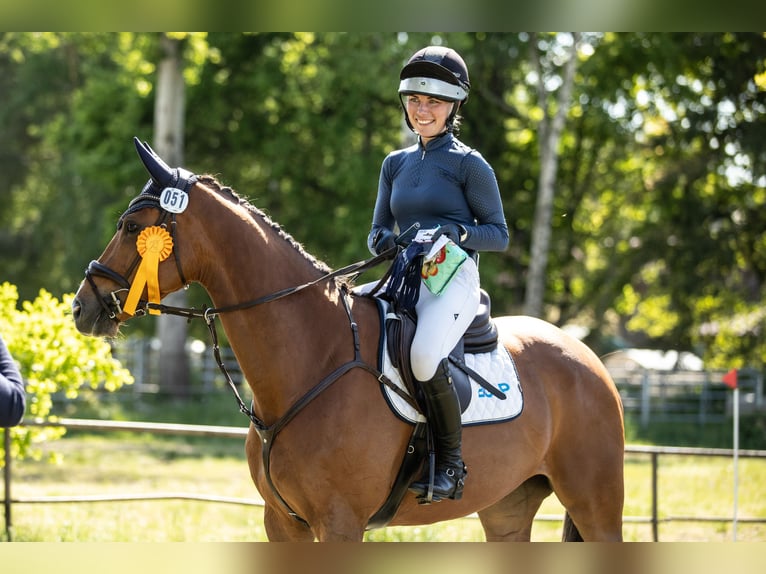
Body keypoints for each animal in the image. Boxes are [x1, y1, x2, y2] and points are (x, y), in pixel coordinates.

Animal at [72, 138, 624, 542]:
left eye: (131, 226)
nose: (82, 306)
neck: (312, 359)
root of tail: (588, 358)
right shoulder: (283, 523)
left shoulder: (340, 524)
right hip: (508, 507)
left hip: (595, 502)